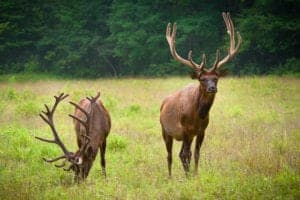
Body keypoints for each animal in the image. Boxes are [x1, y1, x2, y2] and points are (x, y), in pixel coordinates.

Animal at [159, 12, 241, 177]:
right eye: (202, 79)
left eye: (216, 78)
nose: (212, 88)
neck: (197, 115)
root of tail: (163, 103)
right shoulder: (184, 129)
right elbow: (186, 154)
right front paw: (189, 176)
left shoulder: (201, 131)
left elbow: (196, 154)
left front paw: (195, 175)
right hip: (165, 131)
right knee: (170, 155)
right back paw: (170, 177)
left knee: (181, 153)